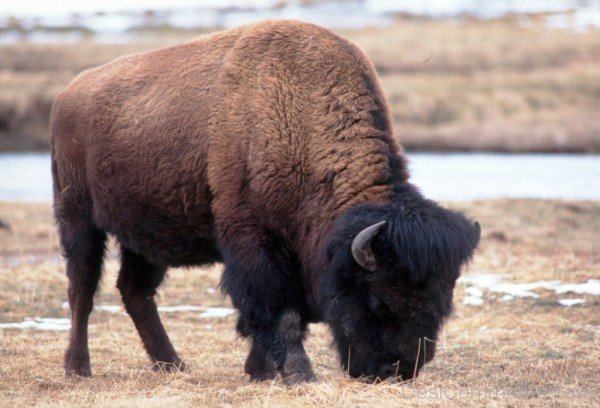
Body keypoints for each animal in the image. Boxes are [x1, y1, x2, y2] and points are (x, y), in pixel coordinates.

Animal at [52, 20, 482, 384]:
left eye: (443, 302)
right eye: (377, 300)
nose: (398, 370)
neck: (298, 115)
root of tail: (67, 94)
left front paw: (260, 371)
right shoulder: (255, 242)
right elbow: (279, 311)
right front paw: (298, 375)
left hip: (145, 237)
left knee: (135, 292)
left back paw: (172, 364)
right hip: (77, 219)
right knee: (82, 289)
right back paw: (78, 368)